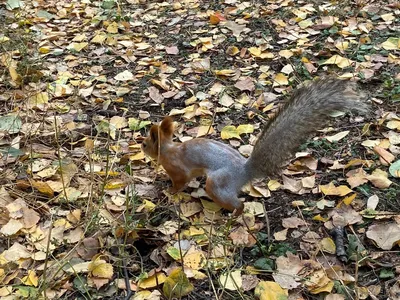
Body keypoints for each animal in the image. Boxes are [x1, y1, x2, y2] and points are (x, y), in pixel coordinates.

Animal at [143, 78, 368, 216]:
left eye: (145, 143)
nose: (140, 146)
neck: (169, 150)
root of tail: (245, 172)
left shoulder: (178, 170)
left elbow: (180, 182)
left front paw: (169, 191)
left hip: (217, 184)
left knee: (237, 203)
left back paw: (233, 216)